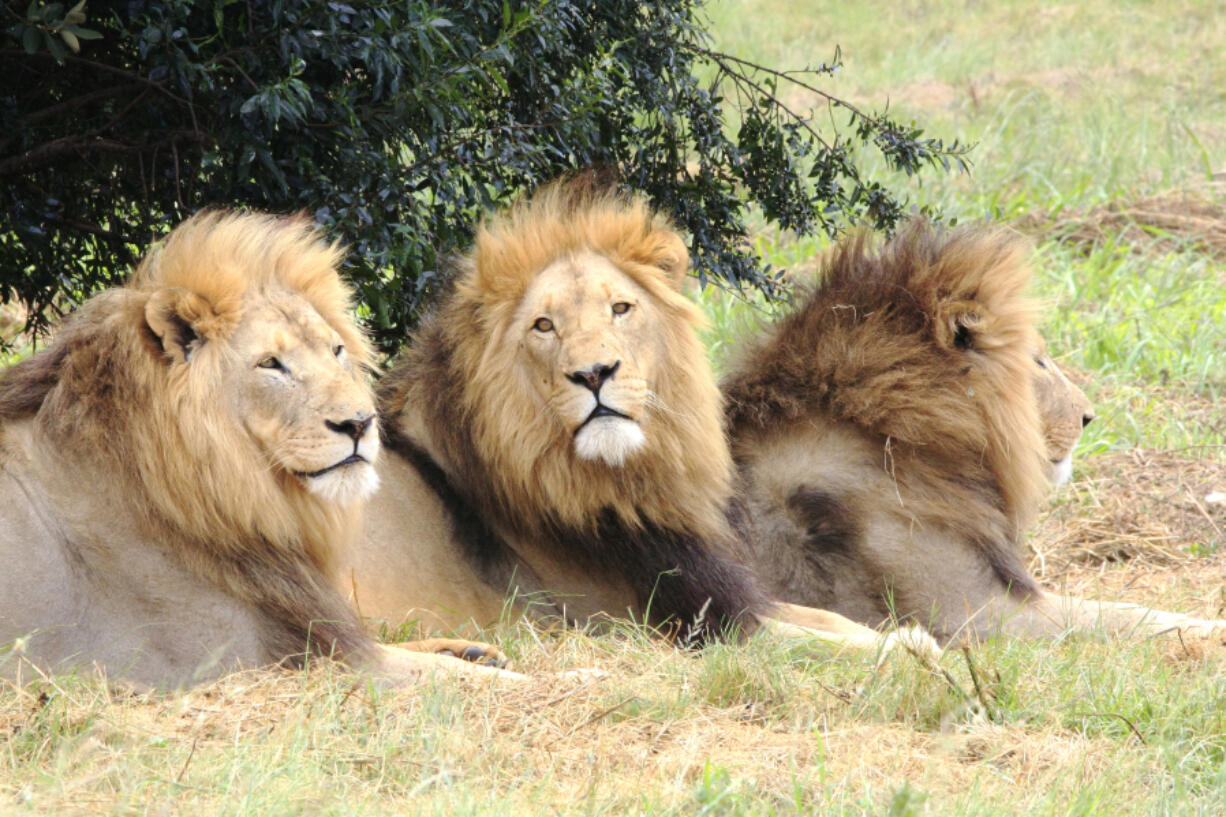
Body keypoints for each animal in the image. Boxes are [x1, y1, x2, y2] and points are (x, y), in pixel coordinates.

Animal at [0, 209, 517, 686]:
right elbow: (462, 679)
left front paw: (473, 650)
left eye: (336, 351)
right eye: (271, 364)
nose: (360, 423)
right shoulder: (263, 661)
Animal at [335, 180, 921, 657]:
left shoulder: (723, 590)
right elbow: (821, 642)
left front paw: (902, 633)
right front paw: (908, 649)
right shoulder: (689, 625)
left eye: (620, 308)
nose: (594, 373)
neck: (627, 479)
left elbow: (831, 619)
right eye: (544, 325)